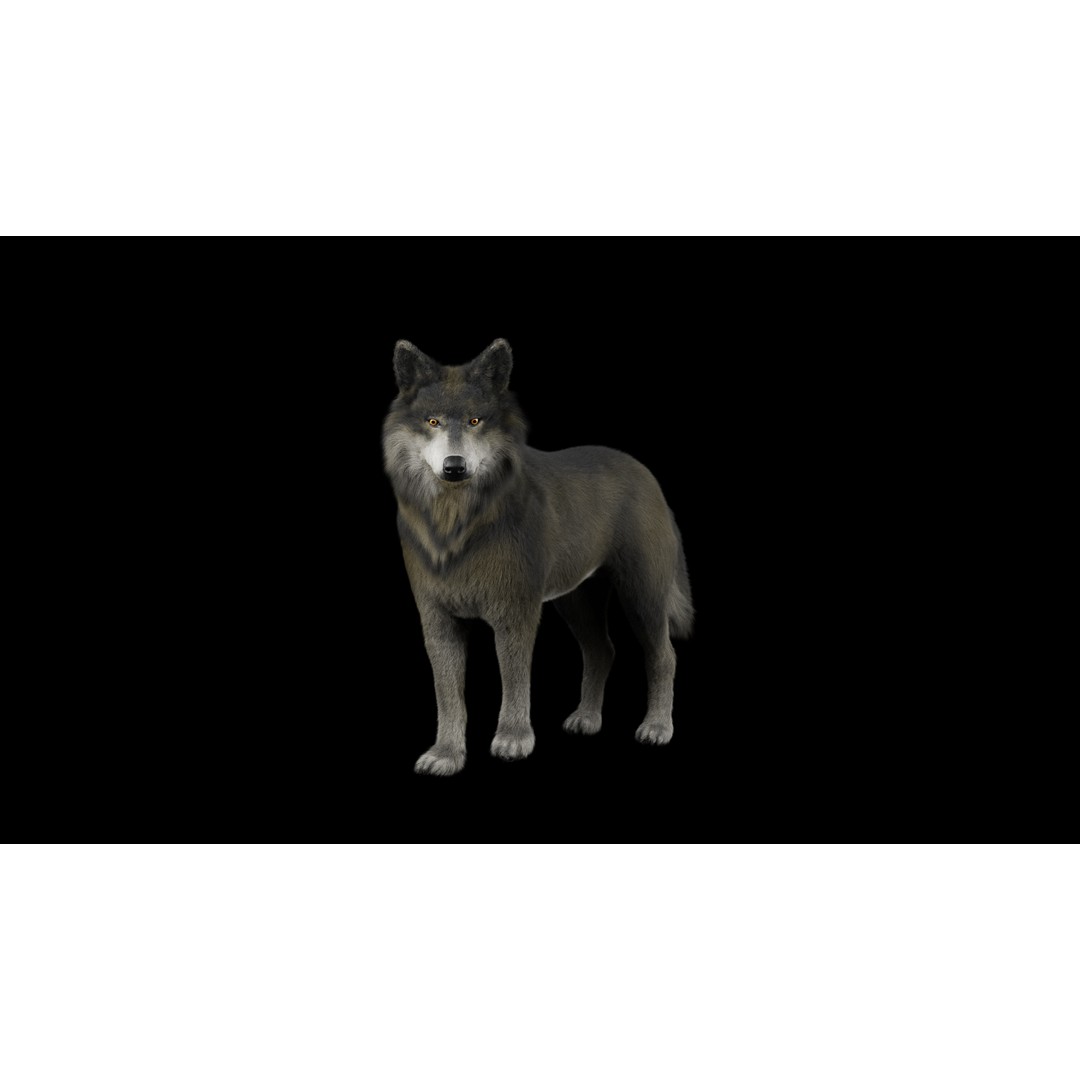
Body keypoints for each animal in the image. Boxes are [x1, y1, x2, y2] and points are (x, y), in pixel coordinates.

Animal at [383, 338, 693, 776]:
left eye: (475, 421)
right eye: (433, 422)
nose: (454, 467)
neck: (456, 526)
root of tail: (648, 475)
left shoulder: (515, 613)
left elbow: (514, 679)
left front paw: (513, 740)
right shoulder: (437, 620)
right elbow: (448, 695)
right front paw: (445, 755)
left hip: (642, 596)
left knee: (663, 656)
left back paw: (657, 727)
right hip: (576, 601)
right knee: (603, 650)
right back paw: (586, 719)